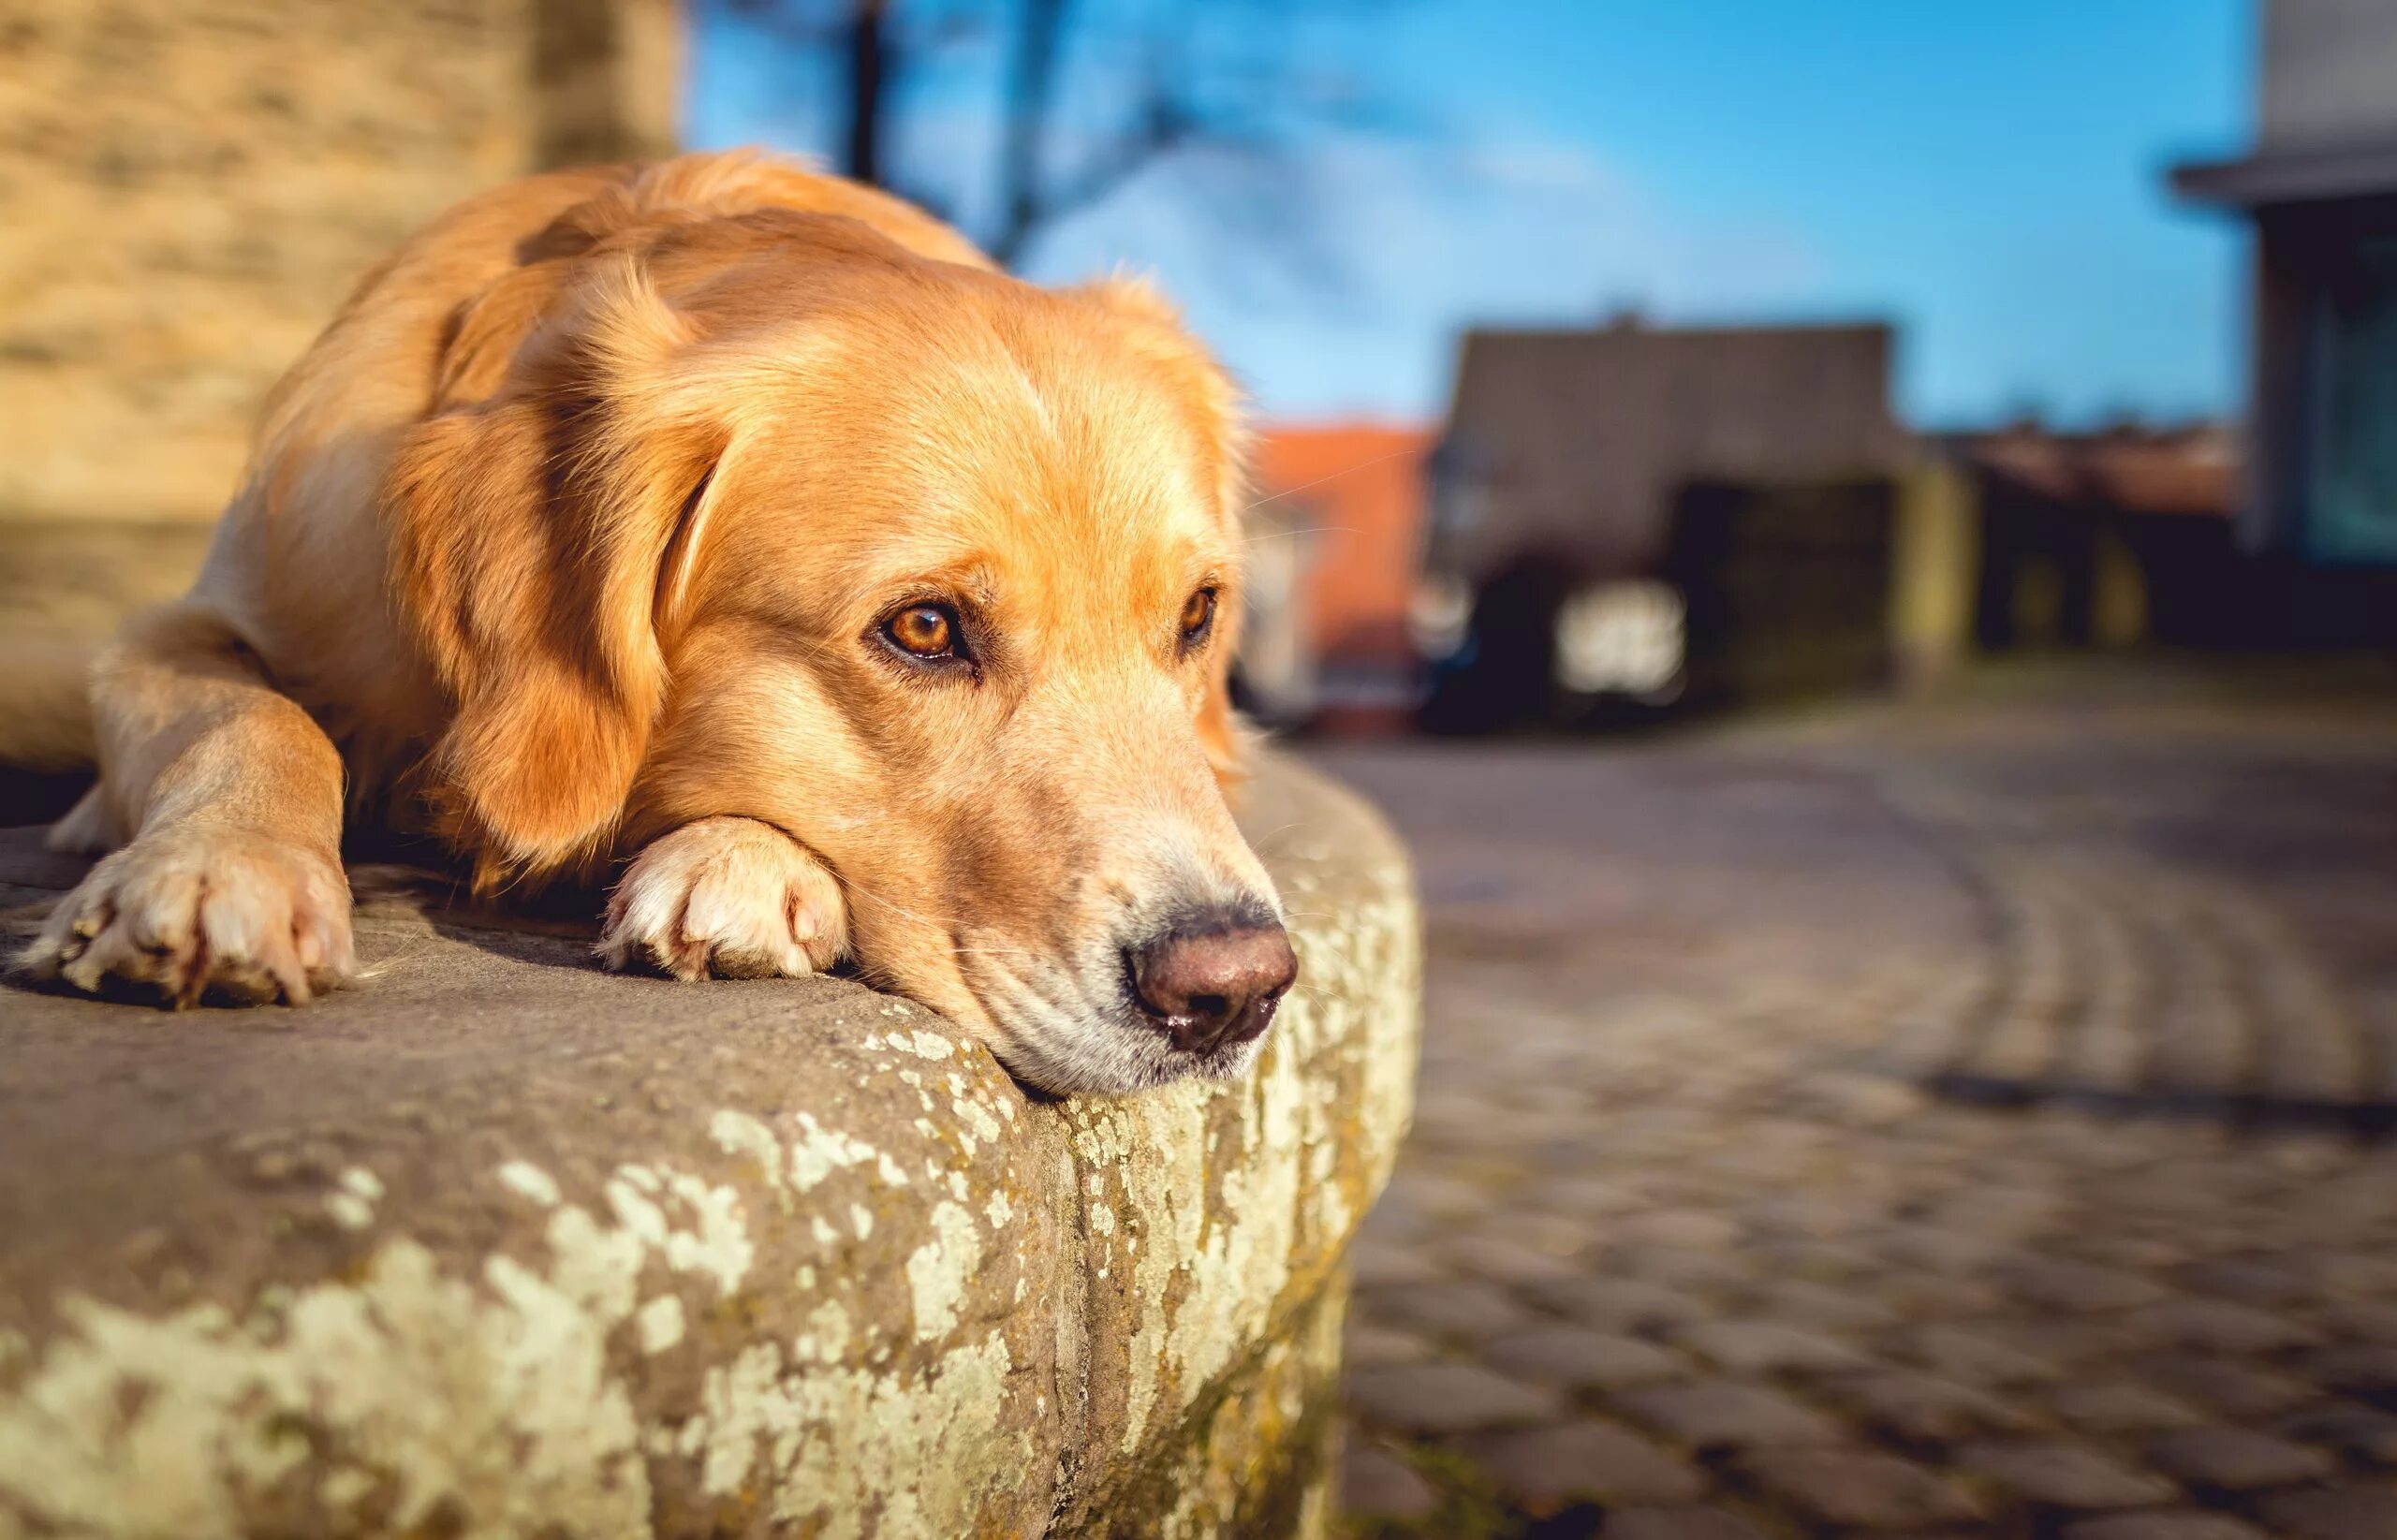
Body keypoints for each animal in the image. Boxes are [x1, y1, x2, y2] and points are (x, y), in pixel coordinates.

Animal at [14, 147, 1294, 1096]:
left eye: (1197, 614)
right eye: (925, 628)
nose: (1236, 989)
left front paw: (738, 861)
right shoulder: (198, 616)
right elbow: (253, 714)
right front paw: (216, 865)